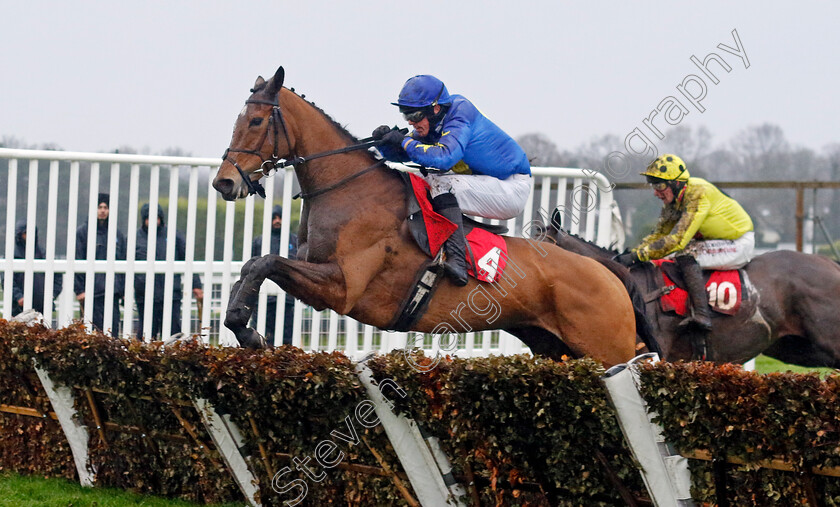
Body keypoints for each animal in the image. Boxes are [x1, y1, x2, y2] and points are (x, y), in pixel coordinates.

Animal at [212, 68, 636, 370]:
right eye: (237, 119)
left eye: (255, 121)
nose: (223, 182)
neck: (350, 190)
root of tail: (611, 276)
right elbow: (255, 264)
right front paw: (241, 325)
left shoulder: (343, 288)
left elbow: (265, 262)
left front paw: (246, 328)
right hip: (553, 348)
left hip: (607, 352)